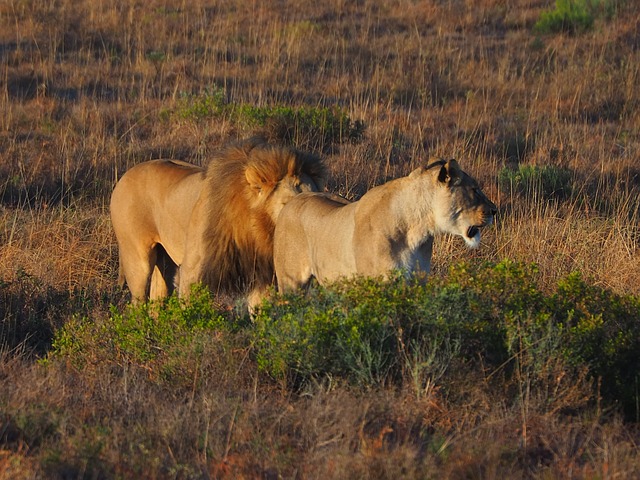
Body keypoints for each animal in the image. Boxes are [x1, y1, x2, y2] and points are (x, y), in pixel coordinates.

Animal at [110, 137, 328, 308]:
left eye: (314, 195)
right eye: (286, 202)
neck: (257, 227)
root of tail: (124, 176)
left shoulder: (260, 272)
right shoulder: (193, 270)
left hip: (165, 260)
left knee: (158, 298)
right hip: (137, 258)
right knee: (138, 301)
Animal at [272, 158, 498, 292]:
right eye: (475, 189)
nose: (494, 210)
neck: (416, 229)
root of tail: (294, 199)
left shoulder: (417, 281)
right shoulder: (378, 283)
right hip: (291, 283)